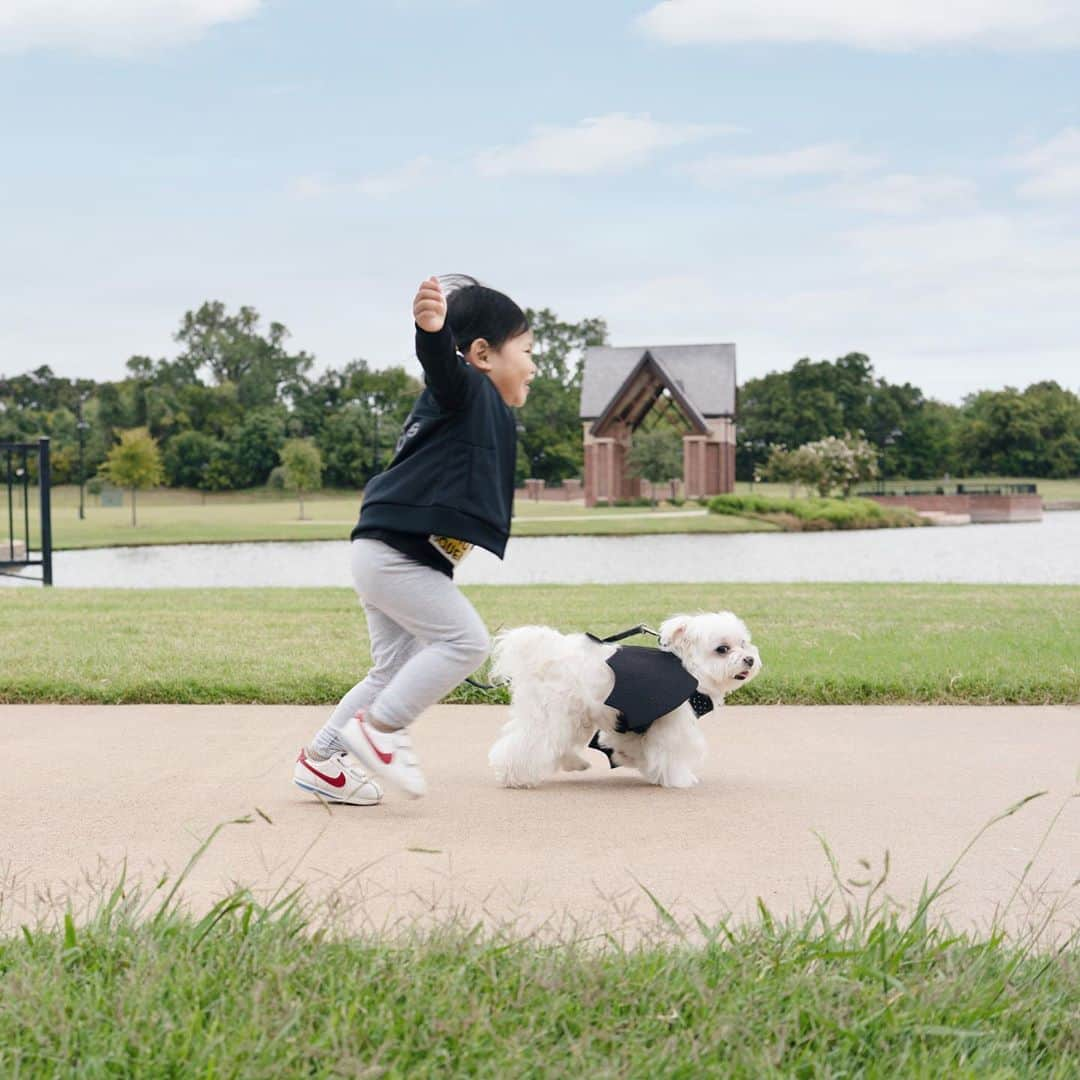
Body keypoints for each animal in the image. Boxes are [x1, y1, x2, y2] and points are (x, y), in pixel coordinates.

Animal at [490, 613, 760, 790]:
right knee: (530, 742)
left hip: (573, 714)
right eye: (722, 649)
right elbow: (670, 751)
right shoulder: (670, 723)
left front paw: (629, 759)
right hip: (555, 712)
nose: (749, 659)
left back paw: (575, 763)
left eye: (743, 643)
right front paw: (678, 779)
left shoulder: (631, 721)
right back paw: (514, 777)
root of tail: (546, 655)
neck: (689, 669)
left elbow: (622, 743)